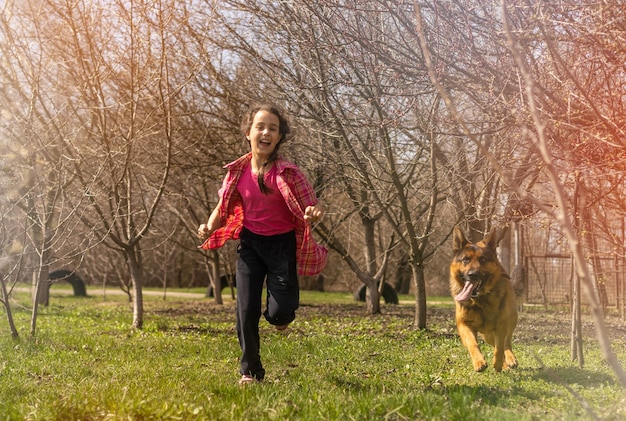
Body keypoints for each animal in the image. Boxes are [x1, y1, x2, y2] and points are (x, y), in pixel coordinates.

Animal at [448, 226, 516, 370]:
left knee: (506, 343)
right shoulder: (464, 325)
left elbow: (499, 347)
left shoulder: (501, 325)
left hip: (510, 322)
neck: (480, 301)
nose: (472, 274)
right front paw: (479, 362)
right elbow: (473, 343)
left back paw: (510, 360)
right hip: (488, 335)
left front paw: (498, 364)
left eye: (483, 260)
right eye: (465, 260)